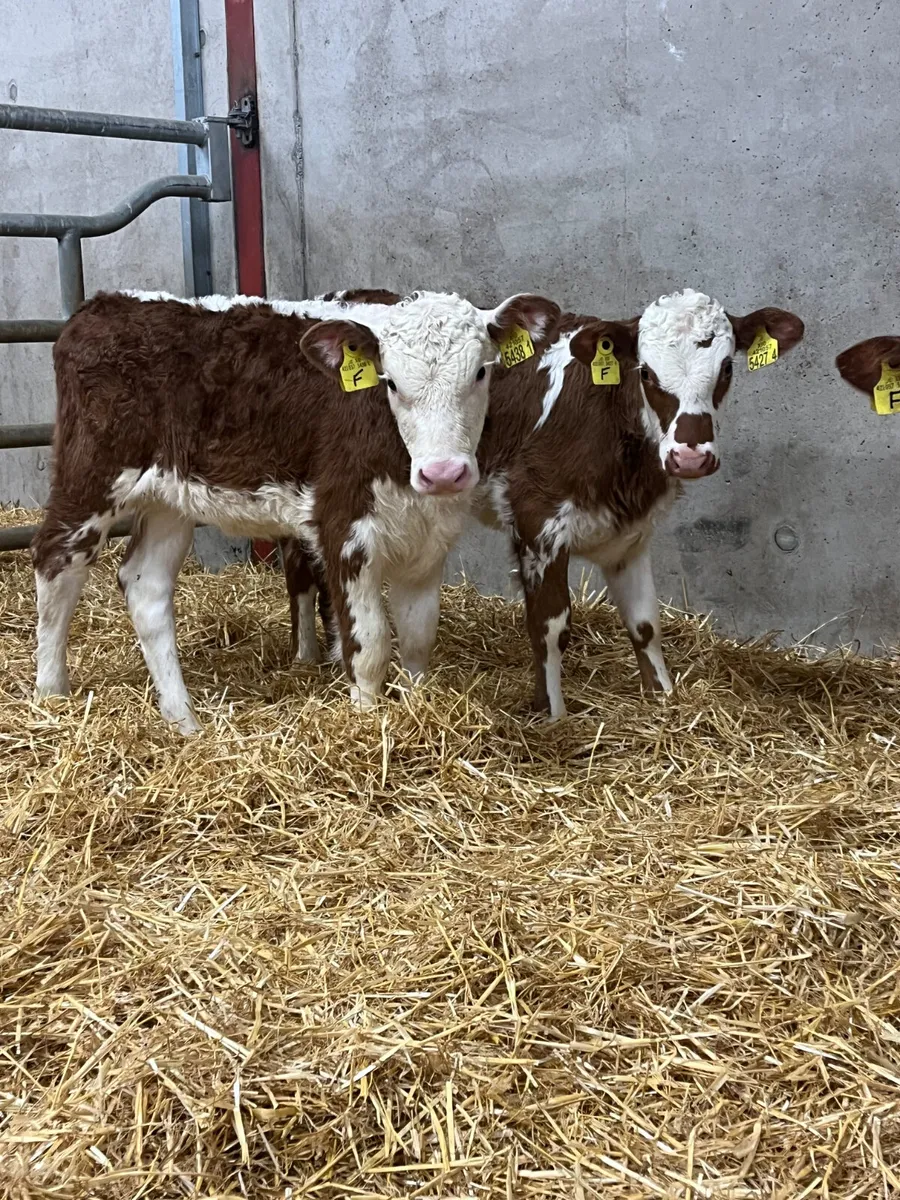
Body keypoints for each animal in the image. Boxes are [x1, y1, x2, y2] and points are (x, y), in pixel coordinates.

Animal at [32, 287, 561, 732]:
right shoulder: (343, 526)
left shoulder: (428, 539)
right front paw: (367, 724)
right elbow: (369, 647)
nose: (444, 472)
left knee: (146, 586)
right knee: (56, 559)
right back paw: (51, 697)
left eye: (481, 372)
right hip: (92, 473)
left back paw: (183, 719)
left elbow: (417, 638)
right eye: (390, 382)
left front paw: (417, 710)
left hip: (169, 499)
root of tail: (102, 304)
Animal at [281, 289, 804, 718]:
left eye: (727, 368)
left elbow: (645, 624)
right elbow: (550, 625)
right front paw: (552, 714)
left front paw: (664, 697)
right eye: (647, 372)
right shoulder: (538, 521)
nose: (691, 455)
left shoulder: (632, 534)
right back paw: (307, 654)